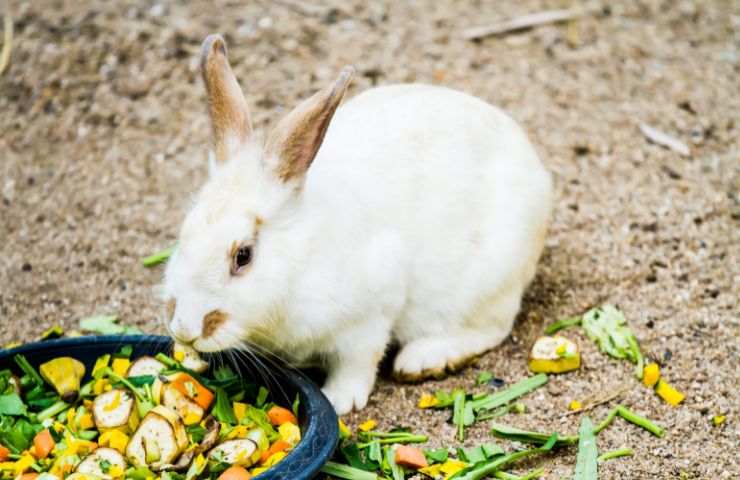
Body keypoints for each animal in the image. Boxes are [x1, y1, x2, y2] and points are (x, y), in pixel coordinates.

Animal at [165, 35, 552, 414]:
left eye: (243, 256)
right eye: (183, 236)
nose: (185, 329)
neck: (300, 256)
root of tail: (537, 171)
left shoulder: (368, 317)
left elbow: (358, 362)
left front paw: (339, 401)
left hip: (487, 285)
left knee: (492, 328)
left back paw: (423, 359)